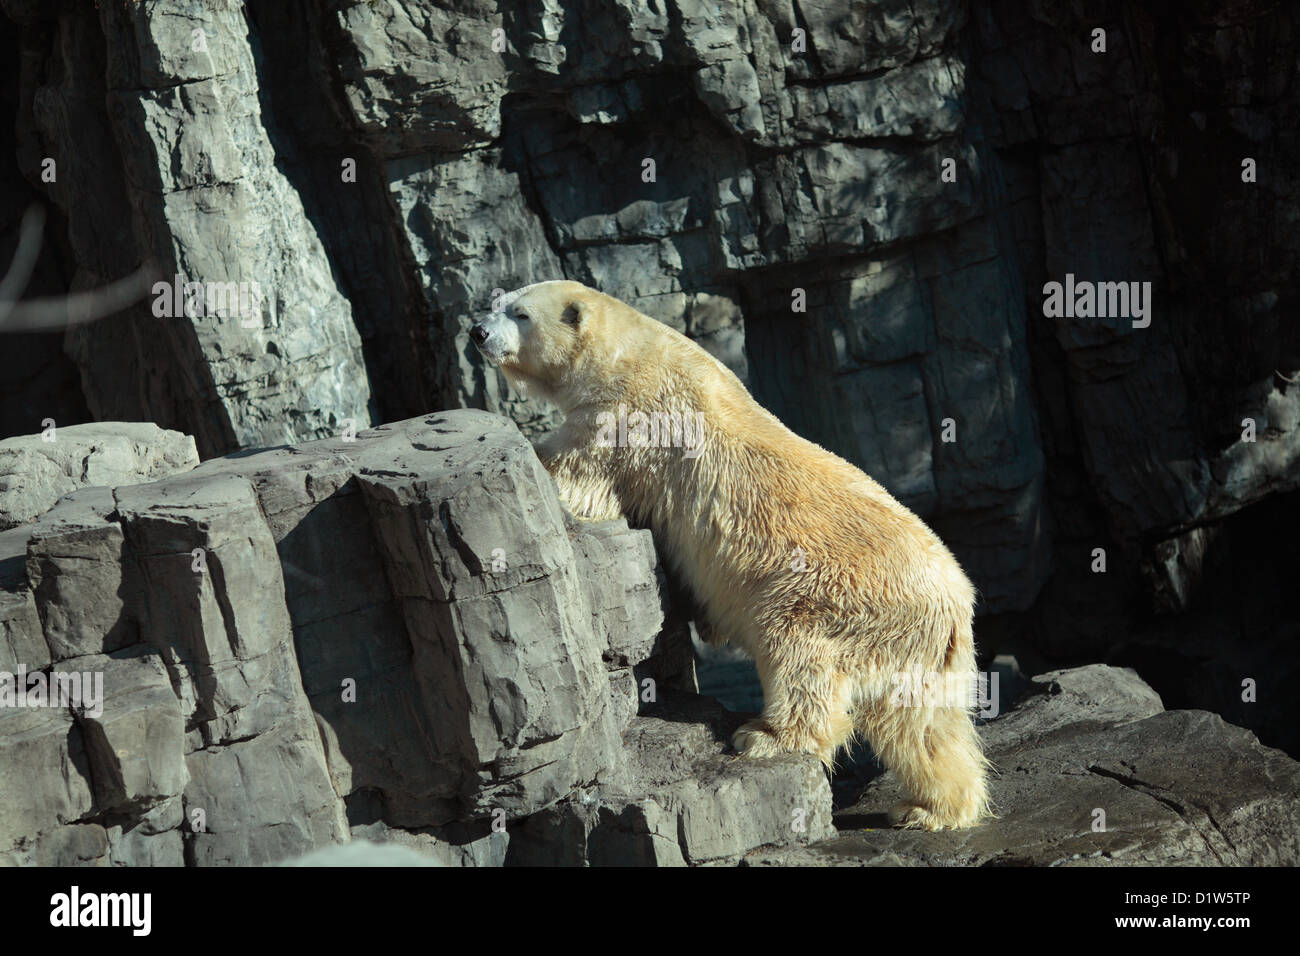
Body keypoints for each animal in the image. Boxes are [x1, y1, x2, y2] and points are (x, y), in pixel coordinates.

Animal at [473, 278, 987, 832]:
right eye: (498, 302)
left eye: (520, 313)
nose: (477, 331)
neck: (628, 352)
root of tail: (957, 603)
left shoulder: (626, 417)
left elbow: (578, 477)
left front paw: (532, 452)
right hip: (913, 647)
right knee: (921, 722)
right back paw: (931, 809)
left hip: (829, 597)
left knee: (799, 657)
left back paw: (764, 736)